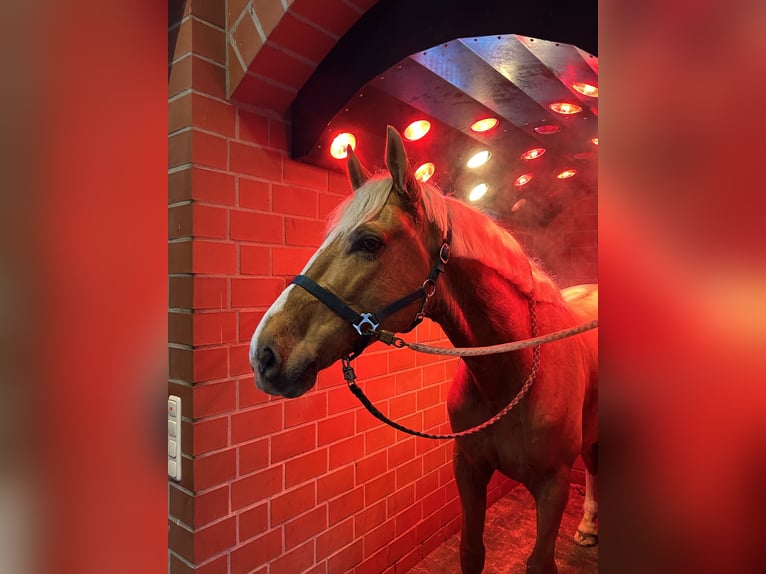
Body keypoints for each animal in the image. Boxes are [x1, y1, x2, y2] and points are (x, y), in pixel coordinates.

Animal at [250, 126, 598, 574]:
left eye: (369, 242)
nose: (264, 354)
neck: (513, 375)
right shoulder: (468, 468)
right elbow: (471, 550)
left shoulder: (553, 486)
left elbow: (539, 562)